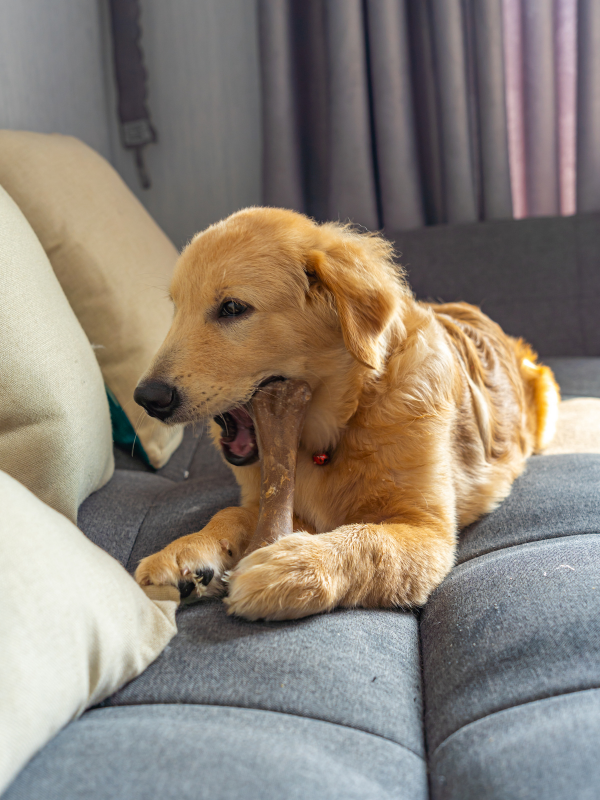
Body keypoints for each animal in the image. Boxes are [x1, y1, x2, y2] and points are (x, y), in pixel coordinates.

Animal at [132, 205, 556, 620]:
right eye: (176, 309)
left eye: (233, 308)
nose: (147, 398)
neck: (342, 423)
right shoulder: (272, 499)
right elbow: (233, 513)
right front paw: (185, 551)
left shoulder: (428, 529)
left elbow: (370, 541)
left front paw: (290, 568)